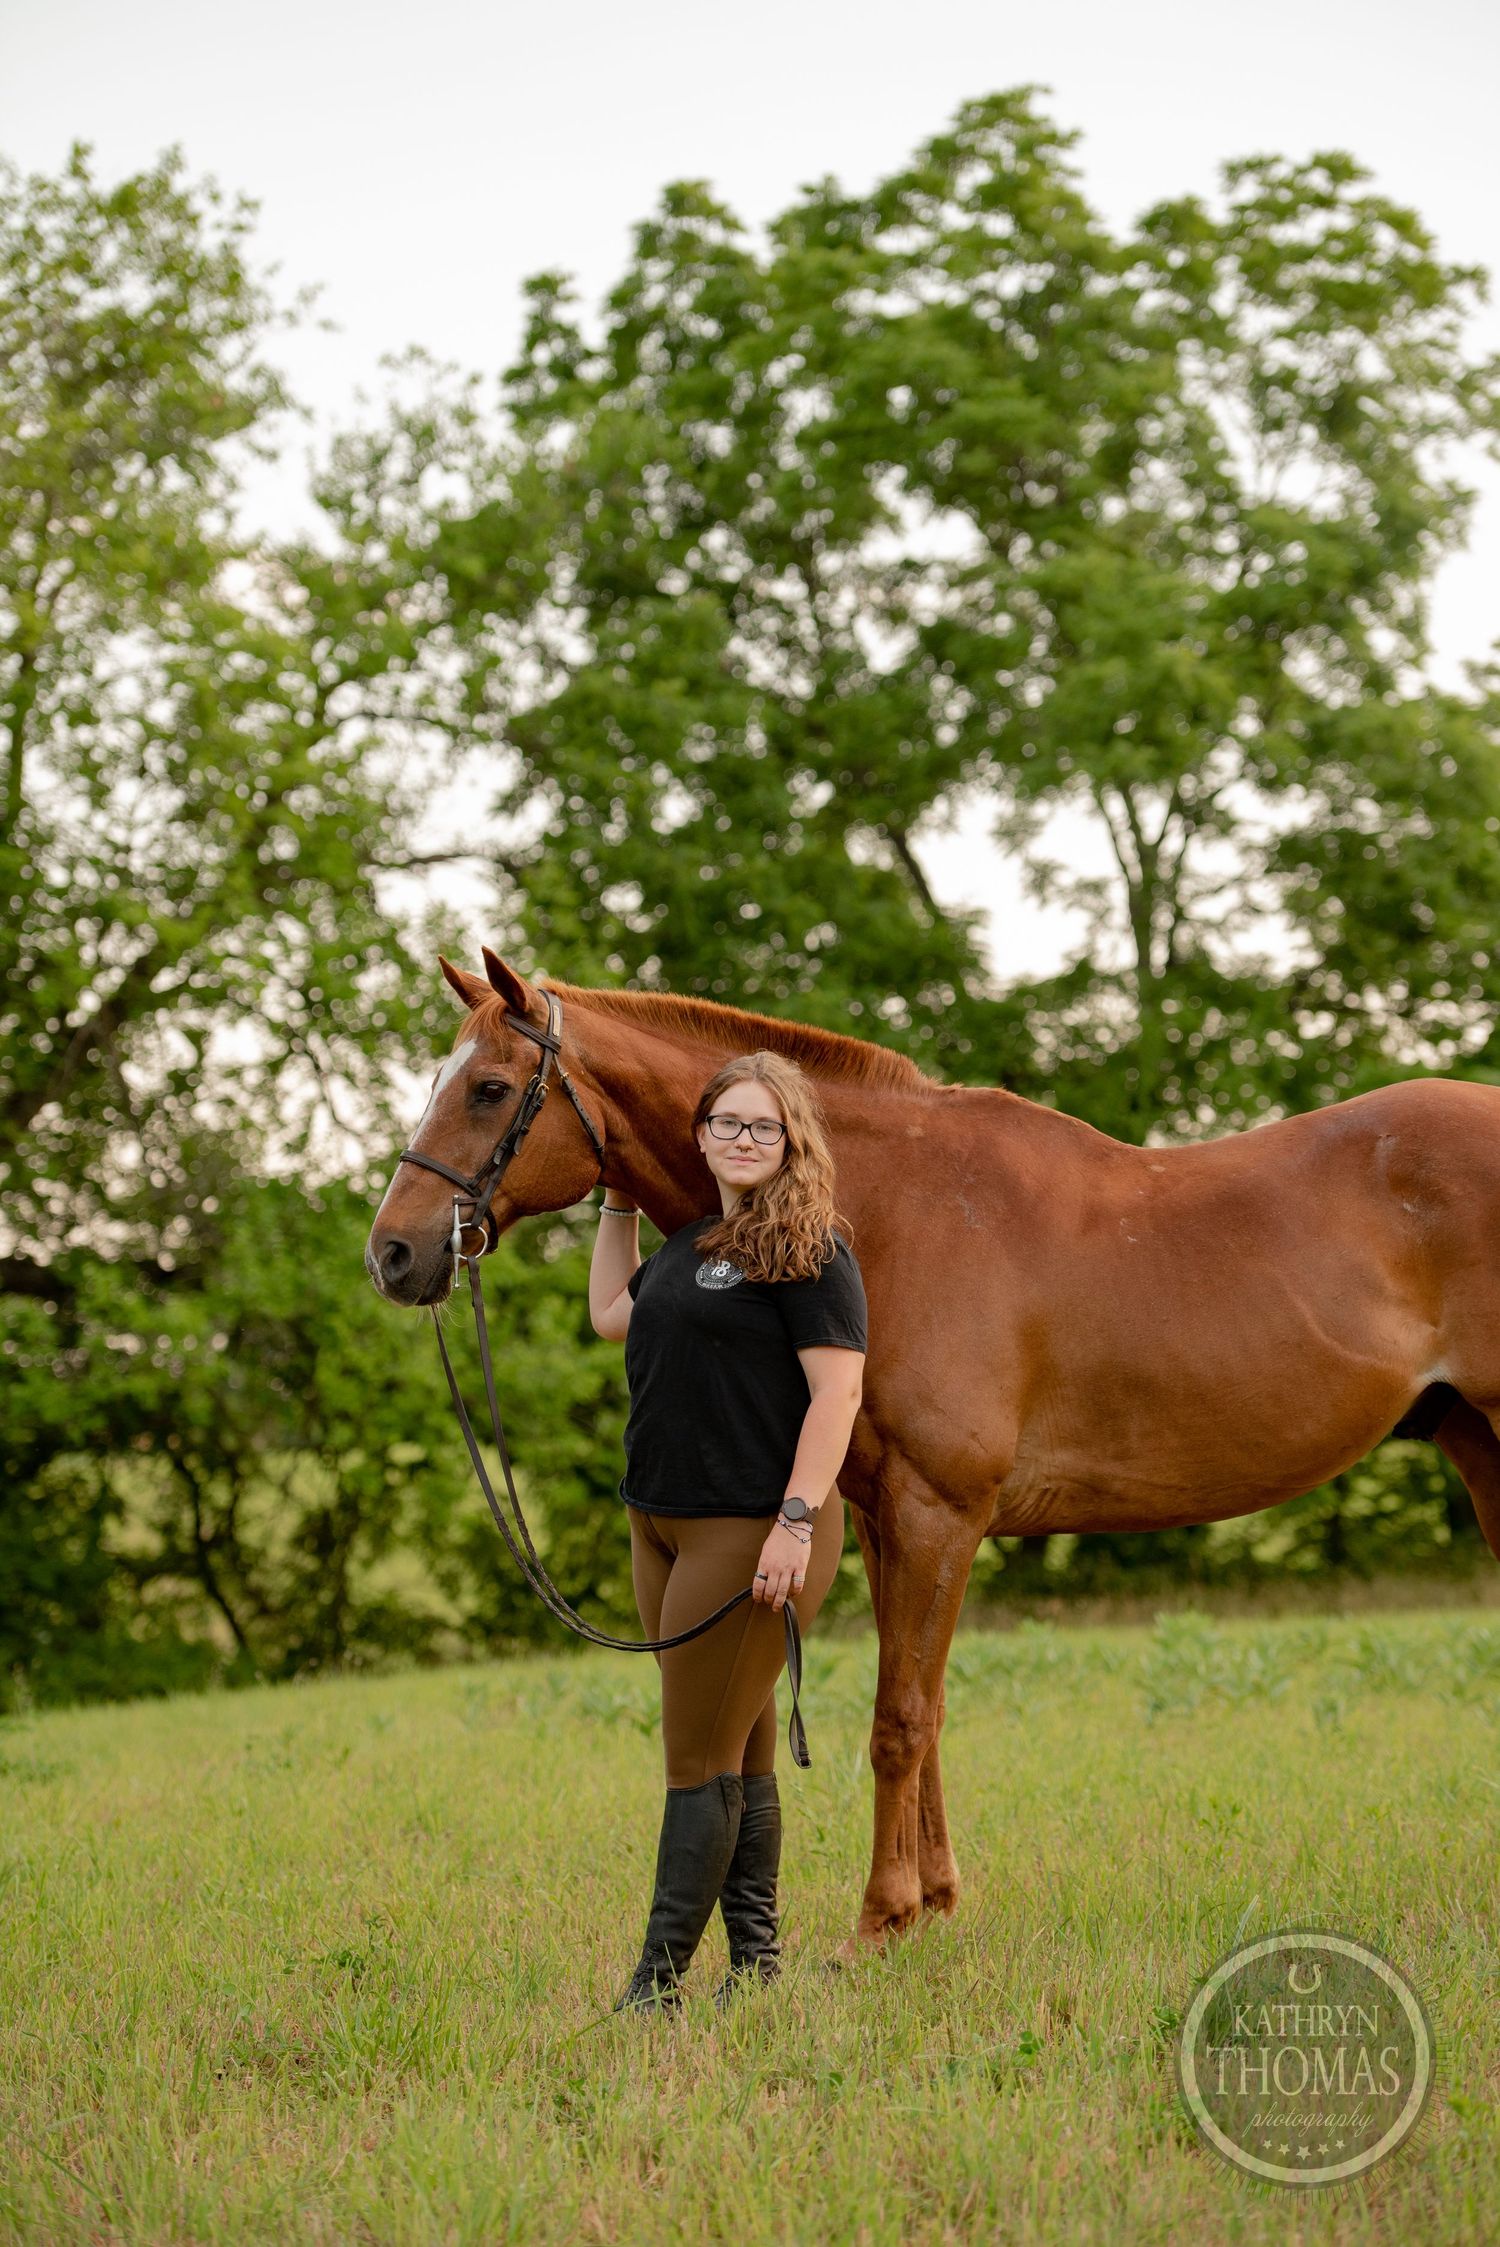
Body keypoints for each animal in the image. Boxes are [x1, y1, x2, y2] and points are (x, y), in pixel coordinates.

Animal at [367, 947, 1500, 1952]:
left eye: (490, 1088)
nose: (394, 1253)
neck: (886, 1209)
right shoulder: (884, 1519)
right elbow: (930, 1707)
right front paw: (938, 1902)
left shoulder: (934, 1511)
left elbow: (899, 1717)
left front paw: (882, 1919)